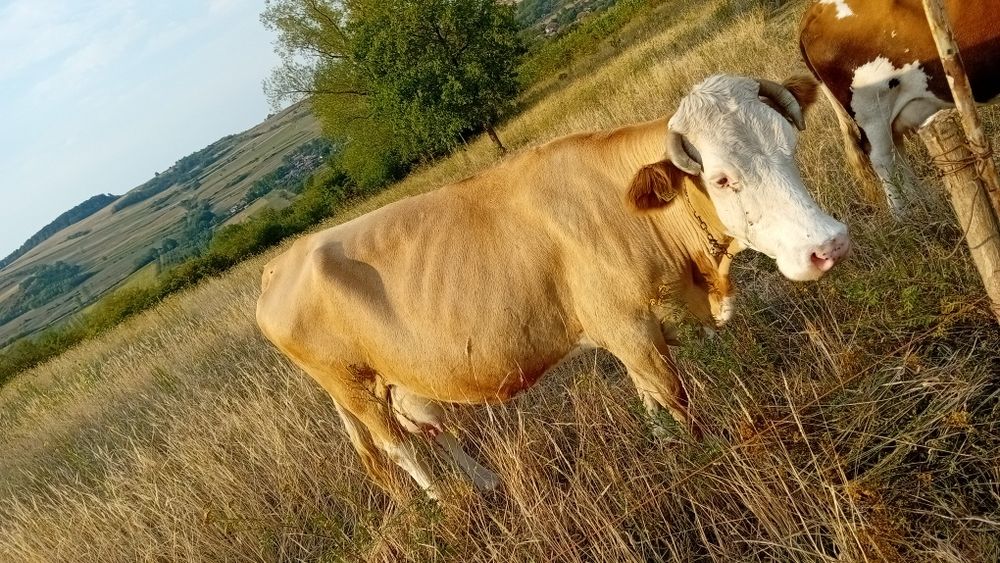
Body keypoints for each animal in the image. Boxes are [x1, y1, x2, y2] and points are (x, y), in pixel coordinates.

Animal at [256, 74, 851, 499]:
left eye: (789, 145)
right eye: (723, 178)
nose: (829, 244)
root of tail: (280, 264)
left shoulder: (633, 337)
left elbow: (653, 406)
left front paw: (666, 449)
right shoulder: (630, 330)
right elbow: (678, 404)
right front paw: (701, 459)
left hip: (398, 376)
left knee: (427, 428)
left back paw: (486, 483)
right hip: (351, 385)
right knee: (401, 448)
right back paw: (446, 502)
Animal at [799, 0, 1000, 217]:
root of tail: (815, 9)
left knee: (896, 150)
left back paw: (923, 204)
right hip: (872, 113)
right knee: (881, 158)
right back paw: (903, 214)